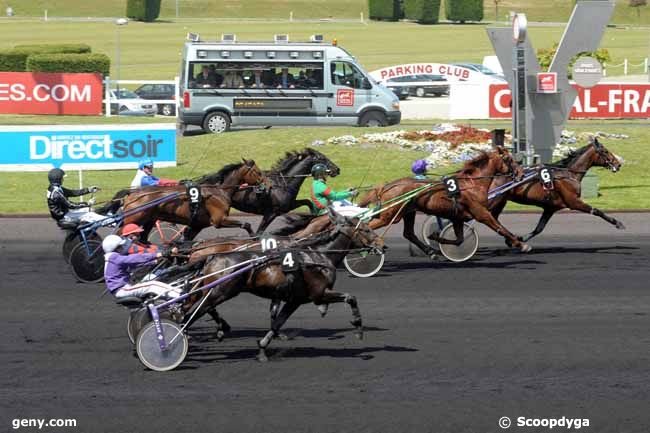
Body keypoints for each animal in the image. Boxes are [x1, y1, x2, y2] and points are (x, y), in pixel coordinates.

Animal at [121, 159, 268, 240]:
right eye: (258, 172)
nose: (267, 185)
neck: (218, 191)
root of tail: (131, 194)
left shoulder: (198, 225)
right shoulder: (219, 220)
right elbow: (246, 224)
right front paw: (254, 237)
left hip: (148, 220)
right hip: (133, 219)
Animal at [486, 137, 624, 243]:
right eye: (605, 151)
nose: (618, 164)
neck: (568, 174)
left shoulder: (550, 208)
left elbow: (539, 228)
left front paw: (520, 239)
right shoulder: (574, 202)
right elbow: (596, 211)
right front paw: (617, 223)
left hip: (501, 201)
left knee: (493, 218)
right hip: (495, 200)